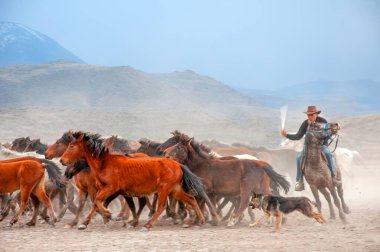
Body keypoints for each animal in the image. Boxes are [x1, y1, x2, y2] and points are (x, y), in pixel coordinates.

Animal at [58, 132, 217, 230]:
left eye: (71, 146)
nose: (62, 161)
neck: (105, 163)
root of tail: (178, 164)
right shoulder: (111, 190)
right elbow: (96, 204)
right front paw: (84, 224)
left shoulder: (112, 189)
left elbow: (97, 201)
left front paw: (111, 216)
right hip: (175, 190)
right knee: (191, 199)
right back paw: (199, 221)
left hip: (164, 189)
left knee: (161, 207)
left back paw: (148, 225)